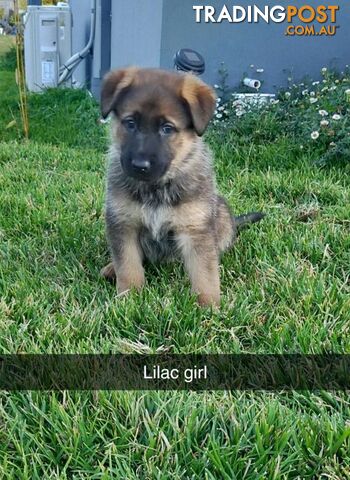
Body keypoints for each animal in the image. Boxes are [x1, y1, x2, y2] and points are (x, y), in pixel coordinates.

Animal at [98, 67, 262, 306]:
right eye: (130, 123)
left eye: (167, 128)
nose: (140, 166)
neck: (157, 188)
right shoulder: (123, 224)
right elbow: (128, 265)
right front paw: (129, 298)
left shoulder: (195, 230)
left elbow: (205, 273)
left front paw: (208, 306)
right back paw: (111, 268)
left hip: (220, 212)